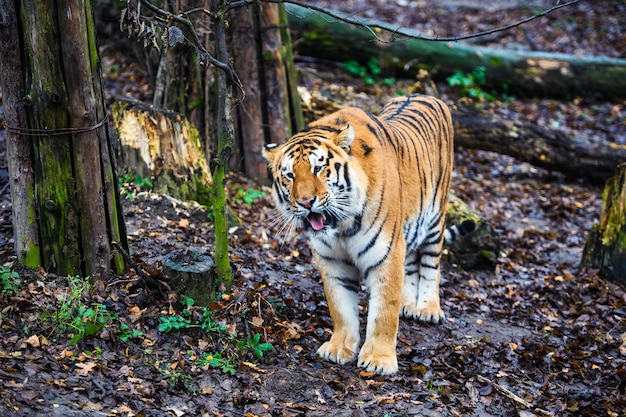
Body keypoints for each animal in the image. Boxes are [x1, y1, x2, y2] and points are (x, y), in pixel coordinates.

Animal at [262, 94, 472, 374]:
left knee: (431, 265)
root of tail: (424, 95)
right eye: (289, 175)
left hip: (435, 218)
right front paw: (339, 347)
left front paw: (379, 360)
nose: (306, 202)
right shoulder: (332, 261)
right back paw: (408, 305)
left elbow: (384, 311)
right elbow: (340, 308)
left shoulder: (386, 253)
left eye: (318, 169)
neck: (342, 227)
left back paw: (428, 309)